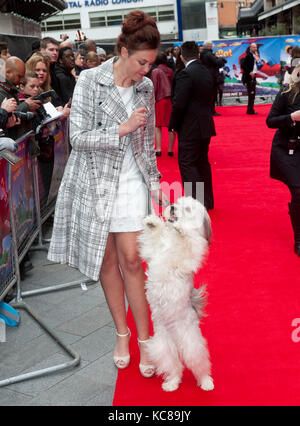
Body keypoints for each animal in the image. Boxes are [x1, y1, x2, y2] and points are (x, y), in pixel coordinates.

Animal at [138, 196, 213, 392]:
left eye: (187, 209)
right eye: (176, 203)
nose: (171, 207)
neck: (172, 240)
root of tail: (177, 342)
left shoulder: (188, 256)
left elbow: (188, 242)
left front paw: (182, 229)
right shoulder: (153, 251)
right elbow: (153, 239)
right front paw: (153, 222)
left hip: (192, 346)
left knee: (200, 366)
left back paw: (206, 382)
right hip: (162, 347)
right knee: (174, 368)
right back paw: (171, 384)